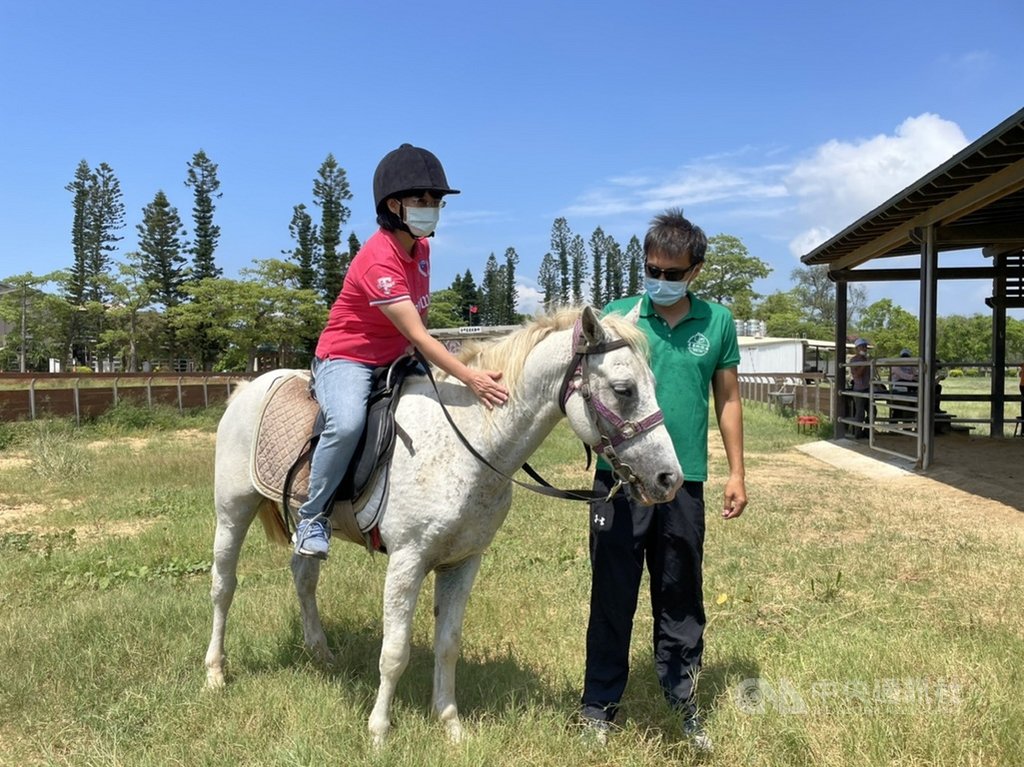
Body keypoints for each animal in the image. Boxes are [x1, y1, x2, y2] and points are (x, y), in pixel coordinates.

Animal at [203, 305, 682, 745]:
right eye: (623, 390)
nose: (669, 479)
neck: (470, 443)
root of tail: (248, 387)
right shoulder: (407, 562)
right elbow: (394, 651)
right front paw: (379, 731)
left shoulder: (463, 562)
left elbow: (448, 644)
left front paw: (450, 725)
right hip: (232, 510)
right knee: (224, 586)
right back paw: (215, 673)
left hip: (310, 525)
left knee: (303, 575)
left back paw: (321, 653)